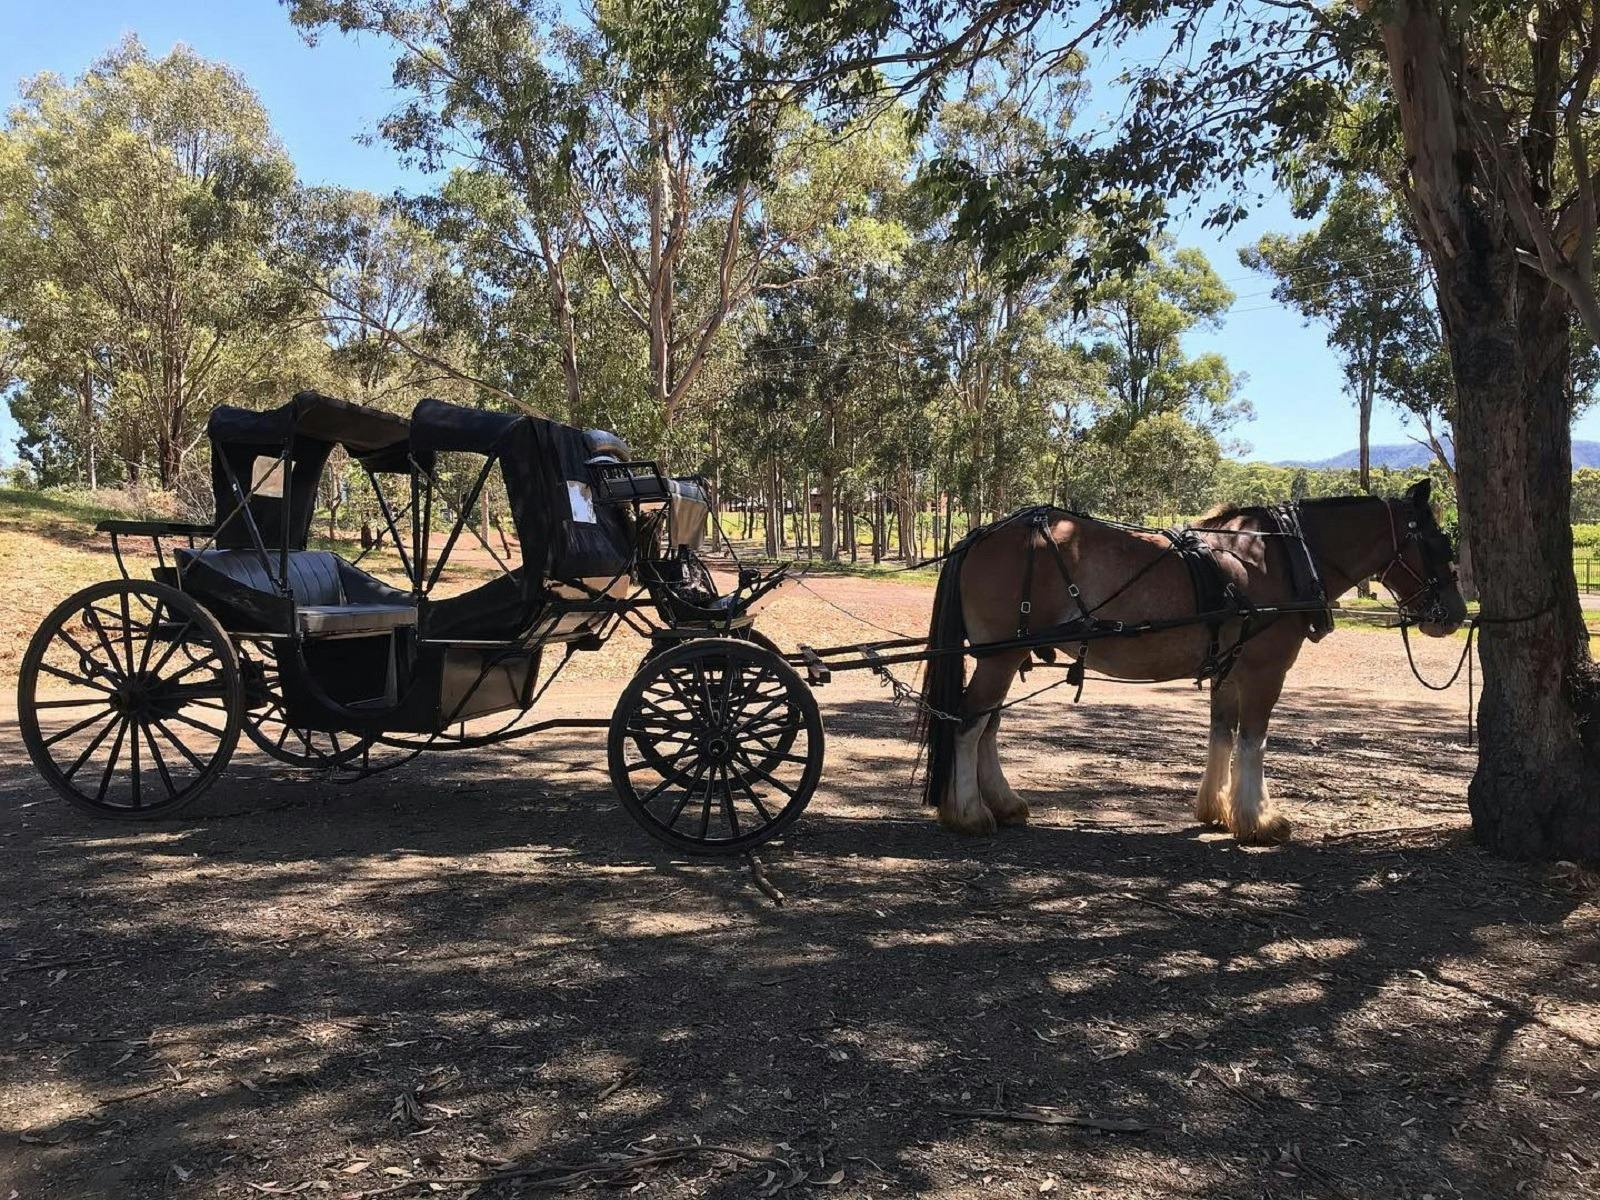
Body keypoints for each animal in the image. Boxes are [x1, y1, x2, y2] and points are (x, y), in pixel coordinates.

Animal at [915, 480, 1466, 846]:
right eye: (1441, 543)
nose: (1456, 614)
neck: (1281, 558)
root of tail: (977, 536)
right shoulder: (1266, 670)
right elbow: (1253, 741)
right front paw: (1260, 820)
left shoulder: (1230, 668)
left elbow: (1222, 733)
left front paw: (1216, 810)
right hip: (999, 657)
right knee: (967, 724)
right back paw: (970, 813)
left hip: (1006, 658)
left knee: (986, 727)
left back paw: (1004, 803)